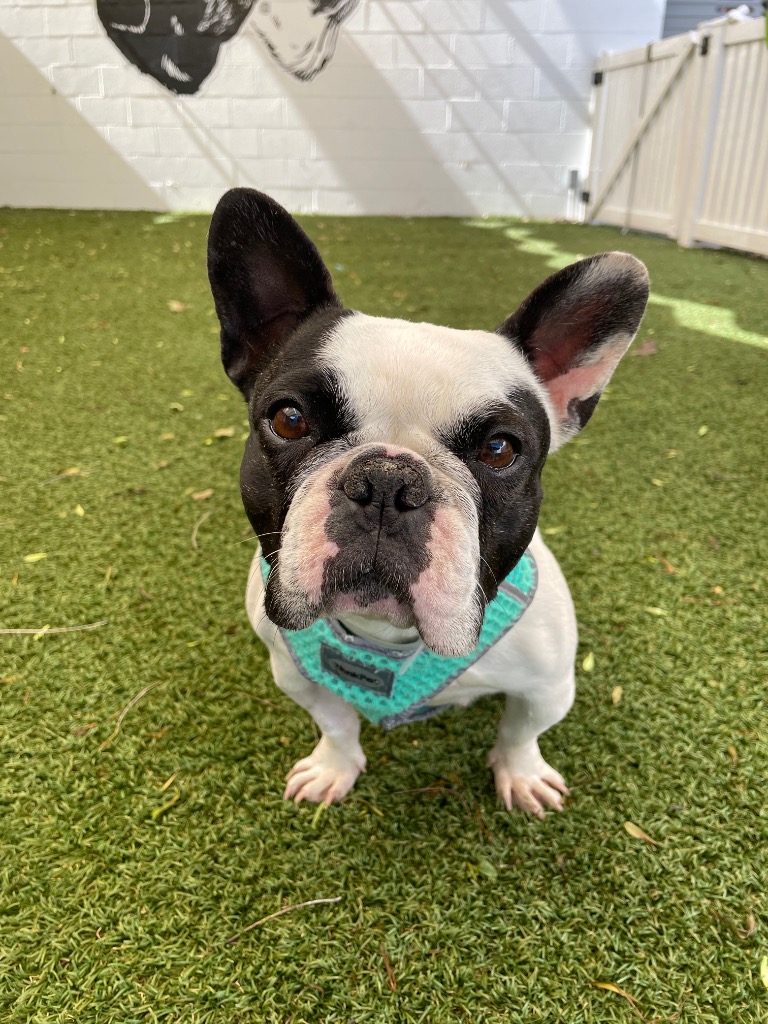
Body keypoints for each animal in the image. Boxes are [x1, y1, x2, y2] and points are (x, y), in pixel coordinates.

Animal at [208, 188, 651, 819]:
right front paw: (333, 766)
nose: (387, 482)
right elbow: (336, 723)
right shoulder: (295, 676)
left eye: (500, 449)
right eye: (289, 419)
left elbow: (522, 730)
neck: (389, 639)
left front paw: (521, 773)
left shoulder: (549, 687)